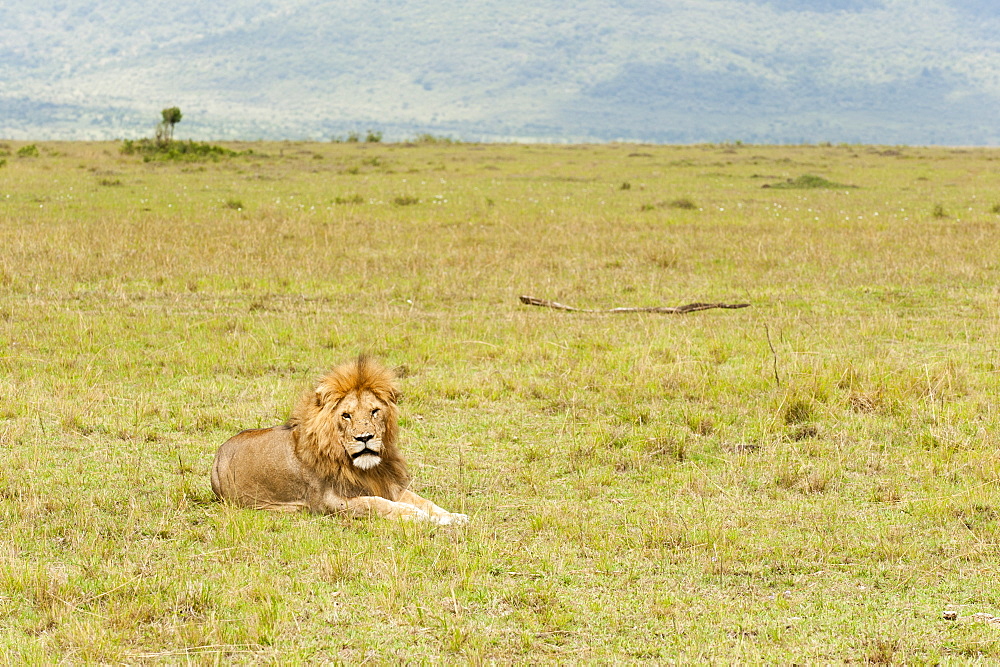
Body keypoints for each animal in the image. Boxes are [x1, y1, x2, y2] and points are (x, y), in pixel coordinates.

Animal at [211, 358, 468, 524]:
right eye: (346, 415)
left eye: (374, 411)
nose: (365, 438)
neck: (363, 468)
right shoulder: (328, 502)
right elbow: (376, 503)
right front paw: (414, 515)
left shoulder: (386, 484)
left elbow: (424, 501)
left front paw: (452, 517)